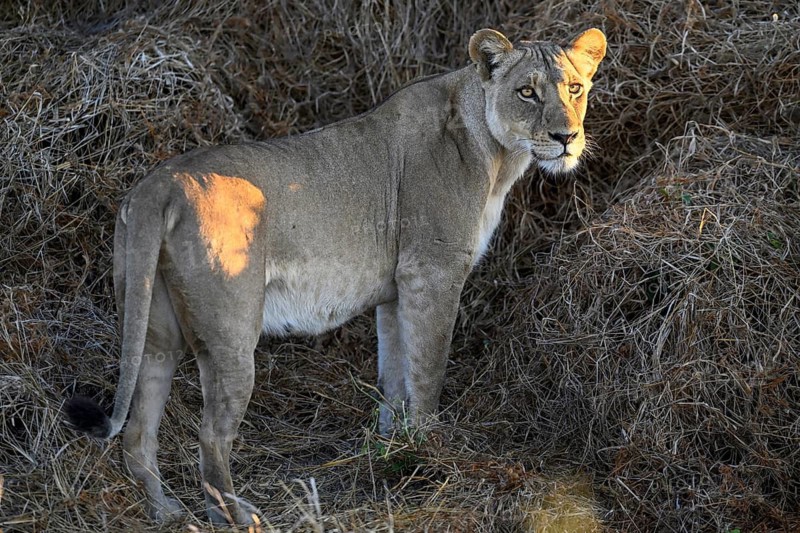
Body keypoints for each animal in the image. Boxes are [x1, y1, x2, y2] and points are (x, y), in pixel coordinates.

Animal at [66, 28, 606, 524]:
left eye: (576, 88)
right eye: (527, 92)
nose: (566, 138)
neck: (498, 157)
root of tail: (157, 186)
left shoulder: (395, 290)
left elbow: (395, 374)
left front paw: (392, 447)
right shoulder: (432, 272)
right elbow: (428, 370)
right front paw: (431, 449)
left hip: (154, 327)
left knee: (138, 431)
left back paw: (166, 513)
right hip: (230, 335)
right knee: (211, 437)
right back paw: (238, 517)